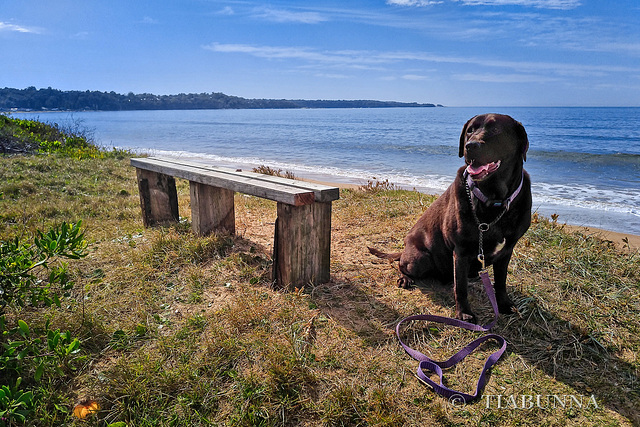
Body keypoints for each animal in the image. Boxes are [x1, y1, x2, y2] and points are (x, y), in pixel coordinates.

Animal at [370, 113, 528, 320]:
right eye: (470, 130)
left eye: (496, 129)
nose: (470, 145)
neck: (494, 199)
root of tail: (404, 249)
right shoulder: (460, 251)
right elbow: (460, 287)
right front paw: (465, 313)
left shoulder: (507, 250)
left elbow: (500, 282)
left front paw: (504, 304)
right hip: (419, 258)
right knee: (402, 265)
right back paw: (405, 278)